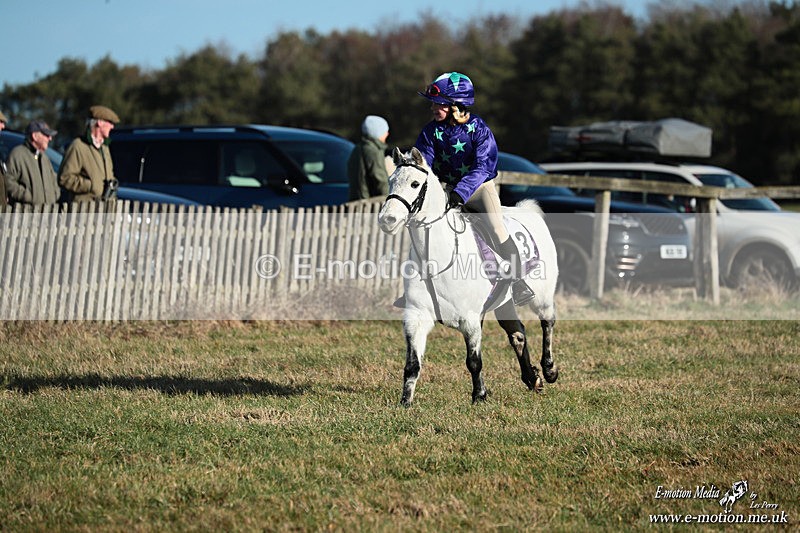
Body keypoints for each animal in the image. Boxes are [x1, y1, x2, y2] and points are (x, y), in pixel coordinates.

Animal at [377, 147, 560, 405]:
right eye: (391, 181)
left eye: (415, 184)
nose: (387, 220)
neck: (437, 258)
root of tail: (527, 210)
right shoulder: (416, 316)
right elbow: (412, 364)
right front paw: (405, 402)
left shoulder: (470, 319)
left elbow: (474, 361)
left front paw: (479, 396)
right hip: (503, 302)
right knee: (517, 333)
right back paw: (532, 378)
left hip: (541, 297)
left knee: (547, 322)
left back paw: (549, 370)